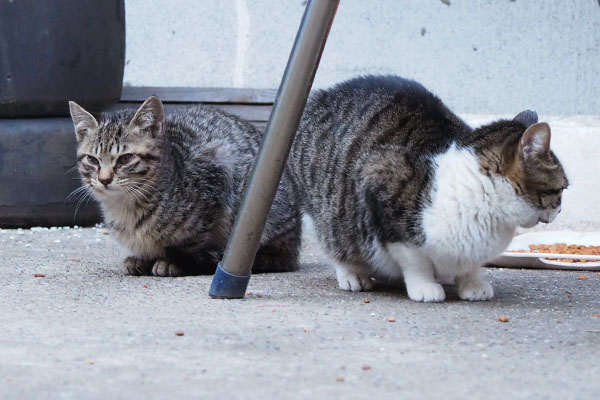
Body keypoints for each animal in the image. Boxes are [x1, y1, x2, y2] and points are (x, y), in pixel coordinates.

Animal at [68, 97, 300, 276]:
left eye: (126, 158)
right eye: (92, 160)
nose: (105, 179)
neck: (125, 206)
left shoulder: (216, 173)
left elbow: (193, 241)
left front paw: (176, 261)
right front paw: (144, 258)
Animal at [290, 75, 568, 302]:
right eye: (561, 190)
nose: (560, 210)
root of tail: (321, 95)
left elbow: (472, 266)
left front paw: (472, 283)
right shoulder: (380, 184)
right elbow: (415, 262)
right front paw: (425, 288)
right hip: (331, 212)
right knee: (336, 243)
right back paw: (353, 275)